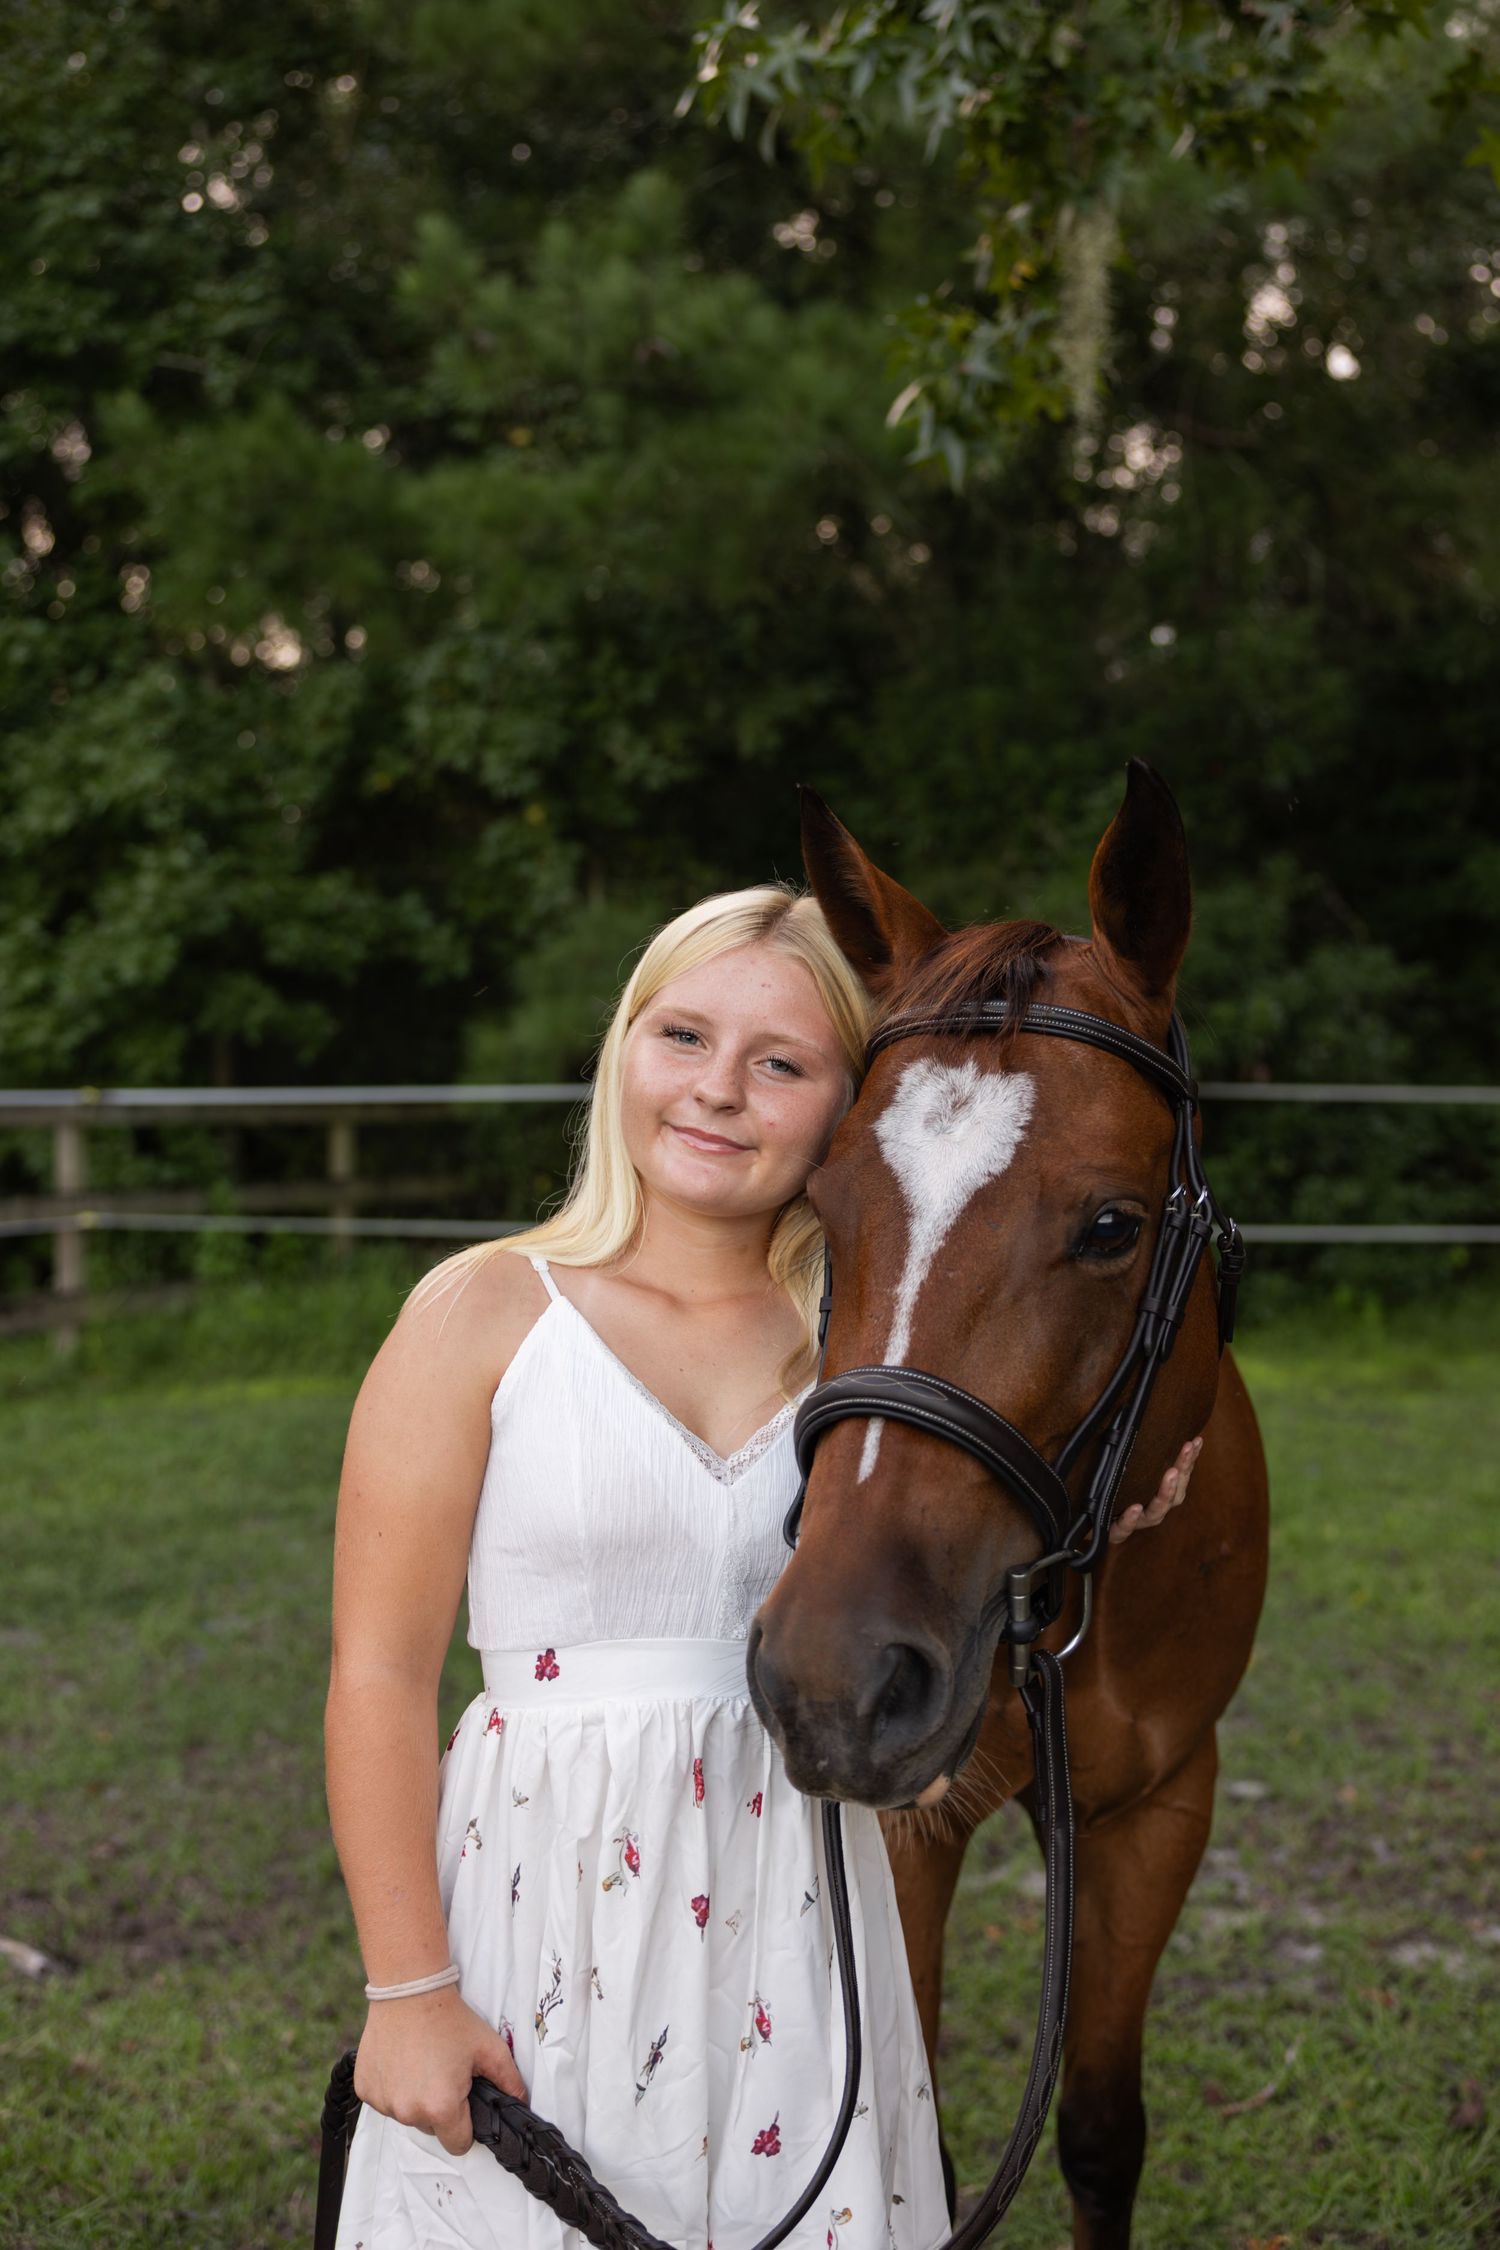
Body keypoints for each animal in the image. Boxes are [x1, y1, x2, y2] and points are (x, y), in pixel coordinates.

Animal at [747, 760, 1270, 2249]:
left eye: (1110, 1226)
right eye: (822, 1208)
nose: (832, 1676)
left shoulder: (1159, 1808)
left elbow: (1097, 2130)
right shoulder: (912, 1823)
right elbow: (909, 2132)